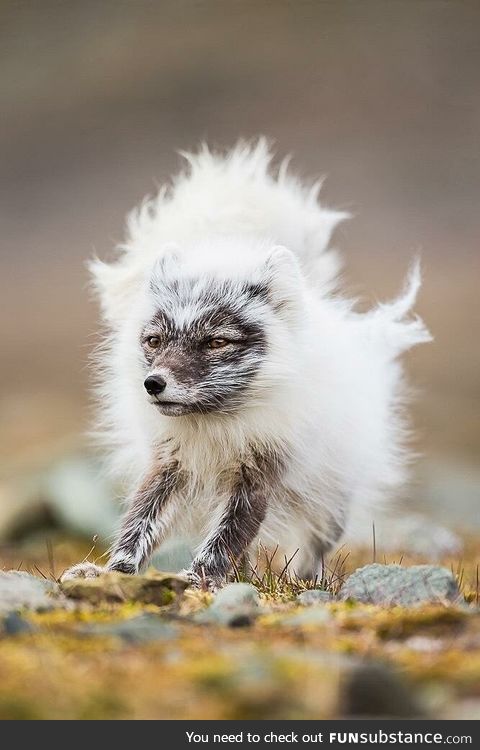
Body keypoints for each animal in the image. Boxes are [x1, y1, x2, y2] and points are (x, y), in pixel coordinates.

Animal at [62, 140, 436, 588]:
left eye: (217, 342)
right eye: (154, 341)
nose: (153, 383)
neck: (215, 426)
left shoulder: (258, 476)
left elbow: (225, 537)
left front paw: (197, 580)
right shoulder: (169, 465)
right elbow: (139, 525)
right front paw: (112, 573)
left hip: (330, 496)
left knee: (315, 542)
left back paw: (308, 582)